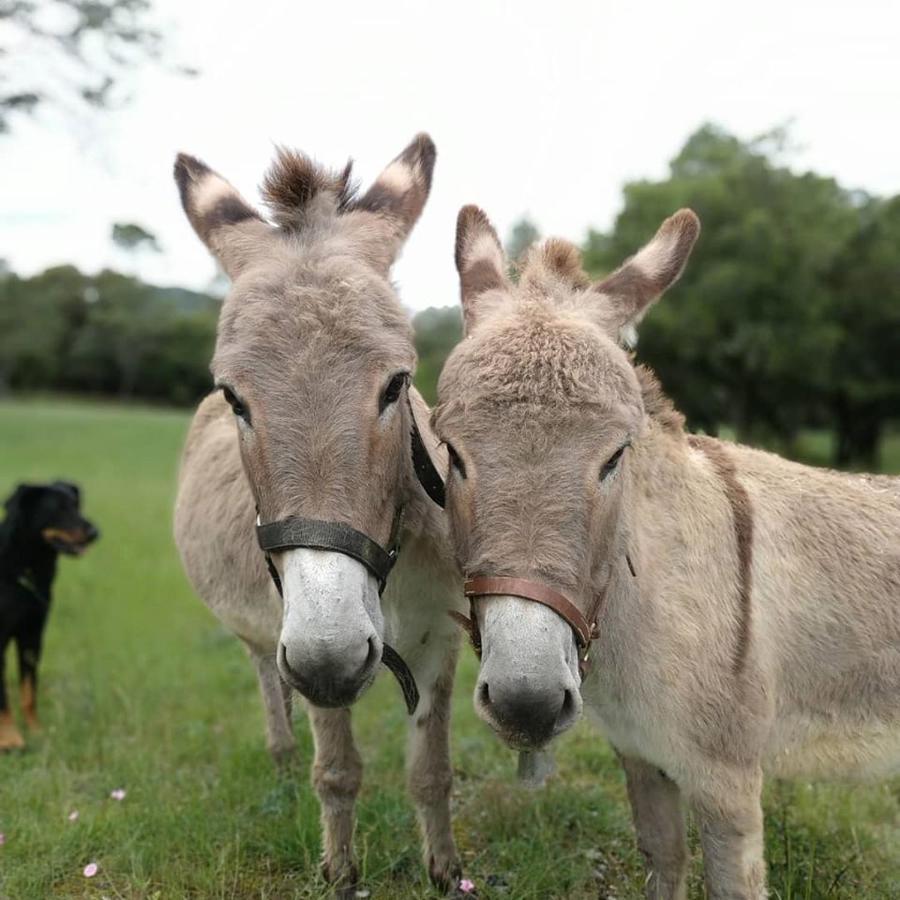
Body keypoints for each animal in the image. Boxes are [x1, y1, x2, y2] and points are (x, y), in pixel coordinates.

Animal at [0, 482, 97, 748]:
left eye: (76, 505)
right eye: (57, 509)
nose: (95, 532)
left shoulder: (32, 636)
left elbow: (29, 691)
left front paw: (36, 731)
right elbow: (3, 697)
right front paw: (9, 737)